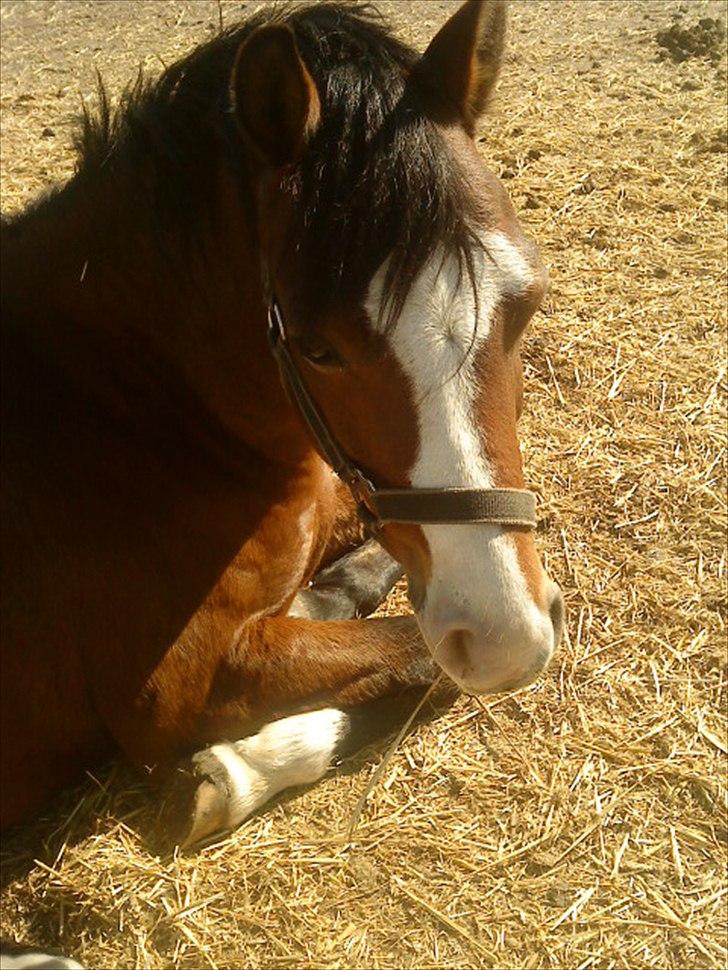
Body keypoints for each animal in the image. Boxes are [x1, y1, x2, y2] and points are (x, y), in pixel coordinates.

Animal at [1, 0, 564, 857]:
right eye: (315, 347)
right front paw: (226, 773)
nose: (505, 637)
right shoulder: (172, 691)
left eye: (526, 300)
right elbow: (418, 657)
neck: (126, 403)